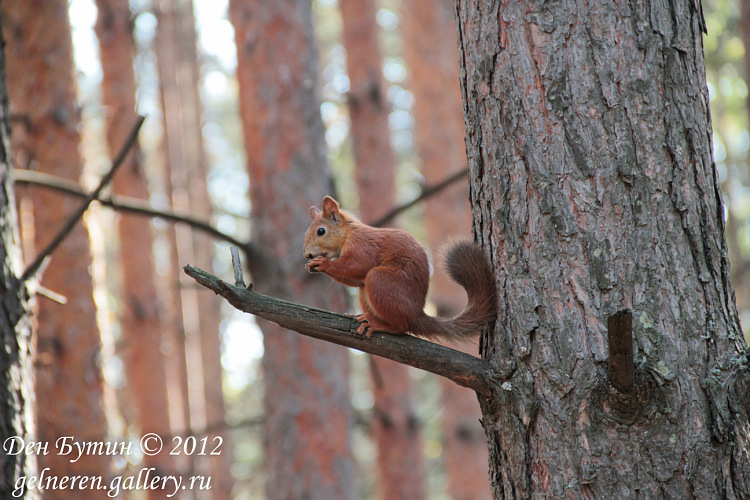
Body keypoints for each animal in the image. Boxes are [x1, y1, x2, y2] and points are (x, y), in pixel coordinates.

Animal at [302, 195, 496, 340]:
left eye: (321, 231)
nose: (307, 255)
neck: (348, 233)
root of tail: (417, 315)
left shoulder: (362, 246)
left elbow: (358, 266)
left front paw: (323, 263)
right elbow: (354, 278)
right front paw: (312, 265)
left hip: (381, 281)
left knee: (401, 327)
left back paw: (377, 325)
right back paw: (366, 317)